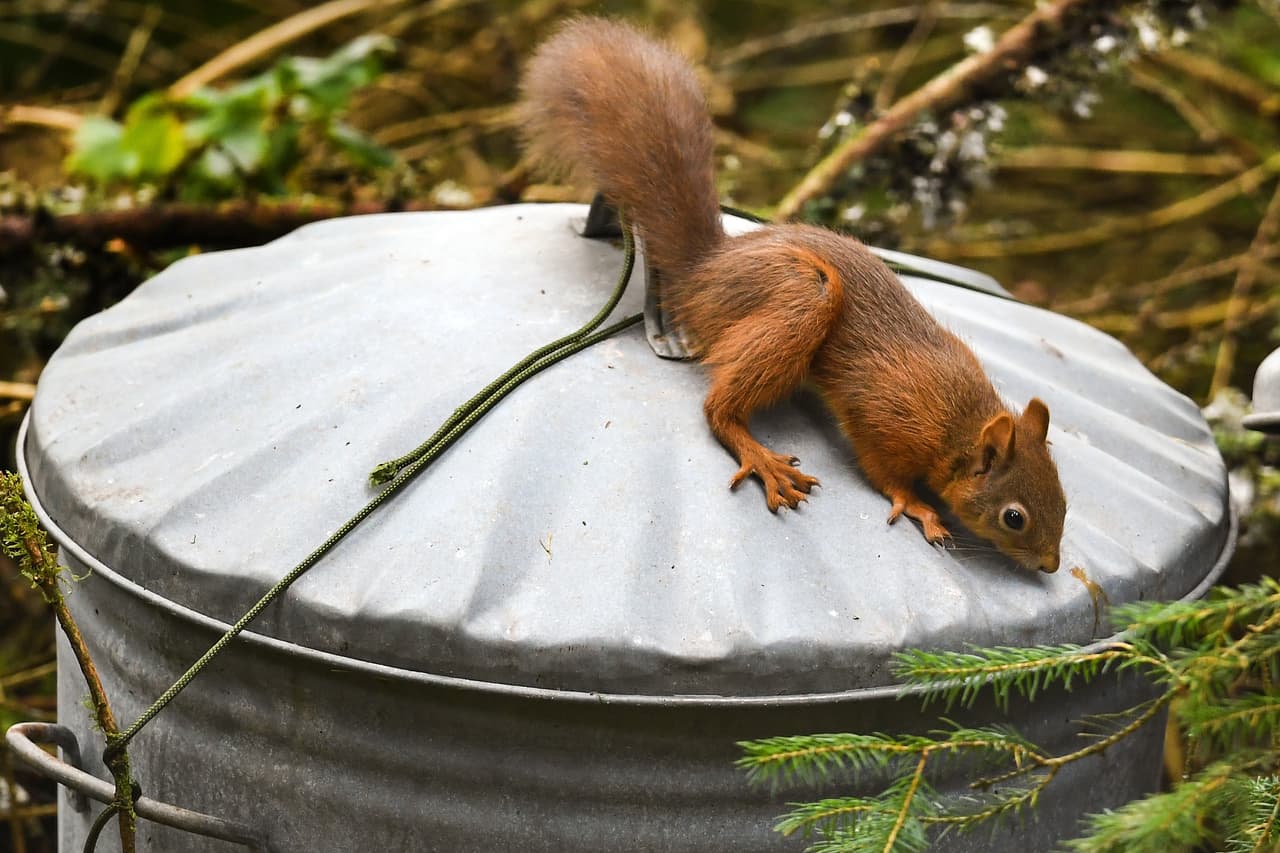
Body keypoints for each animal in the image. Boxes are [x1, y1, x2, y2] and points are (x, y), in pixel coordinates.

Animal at [519, 17, 1067, 574]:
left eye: (1065, 498)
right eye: (1014, 517)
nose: (1050, 565)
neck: (959, 426)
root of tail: (705, 269)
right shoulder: (885, 420)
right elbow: (882, 471)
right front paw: (917, 505)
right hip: (803, 296)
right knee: (717, 409)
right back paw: (759, 455)